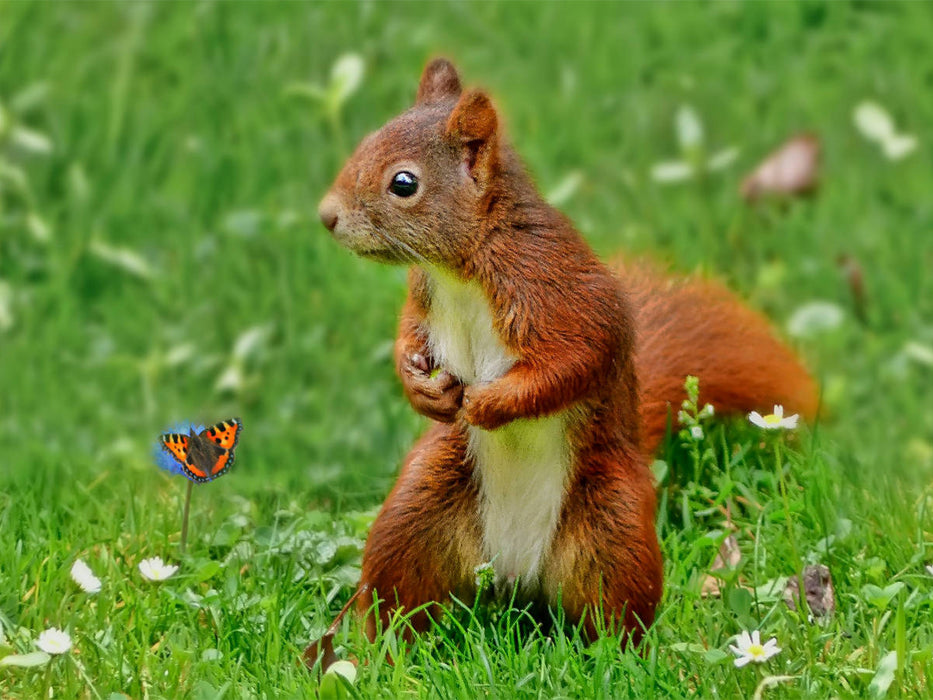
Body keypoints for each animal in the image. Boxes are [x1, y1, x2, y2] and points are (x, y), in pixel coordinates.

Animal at [314, 59, 818, 645]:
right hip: (418, 511)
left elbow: (574, 359)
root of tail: (513, 575)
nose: (326, 216)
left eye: (403, 183)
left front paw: (491, 404)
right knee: (398, 599)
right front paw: (420, 385)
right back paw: (368, 649)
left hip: (614, 527)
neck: (460, 268)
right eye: (367, 140)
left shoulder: (552, 286)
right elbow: (408, 337)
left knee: (615, 617)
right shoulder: (426, 297)